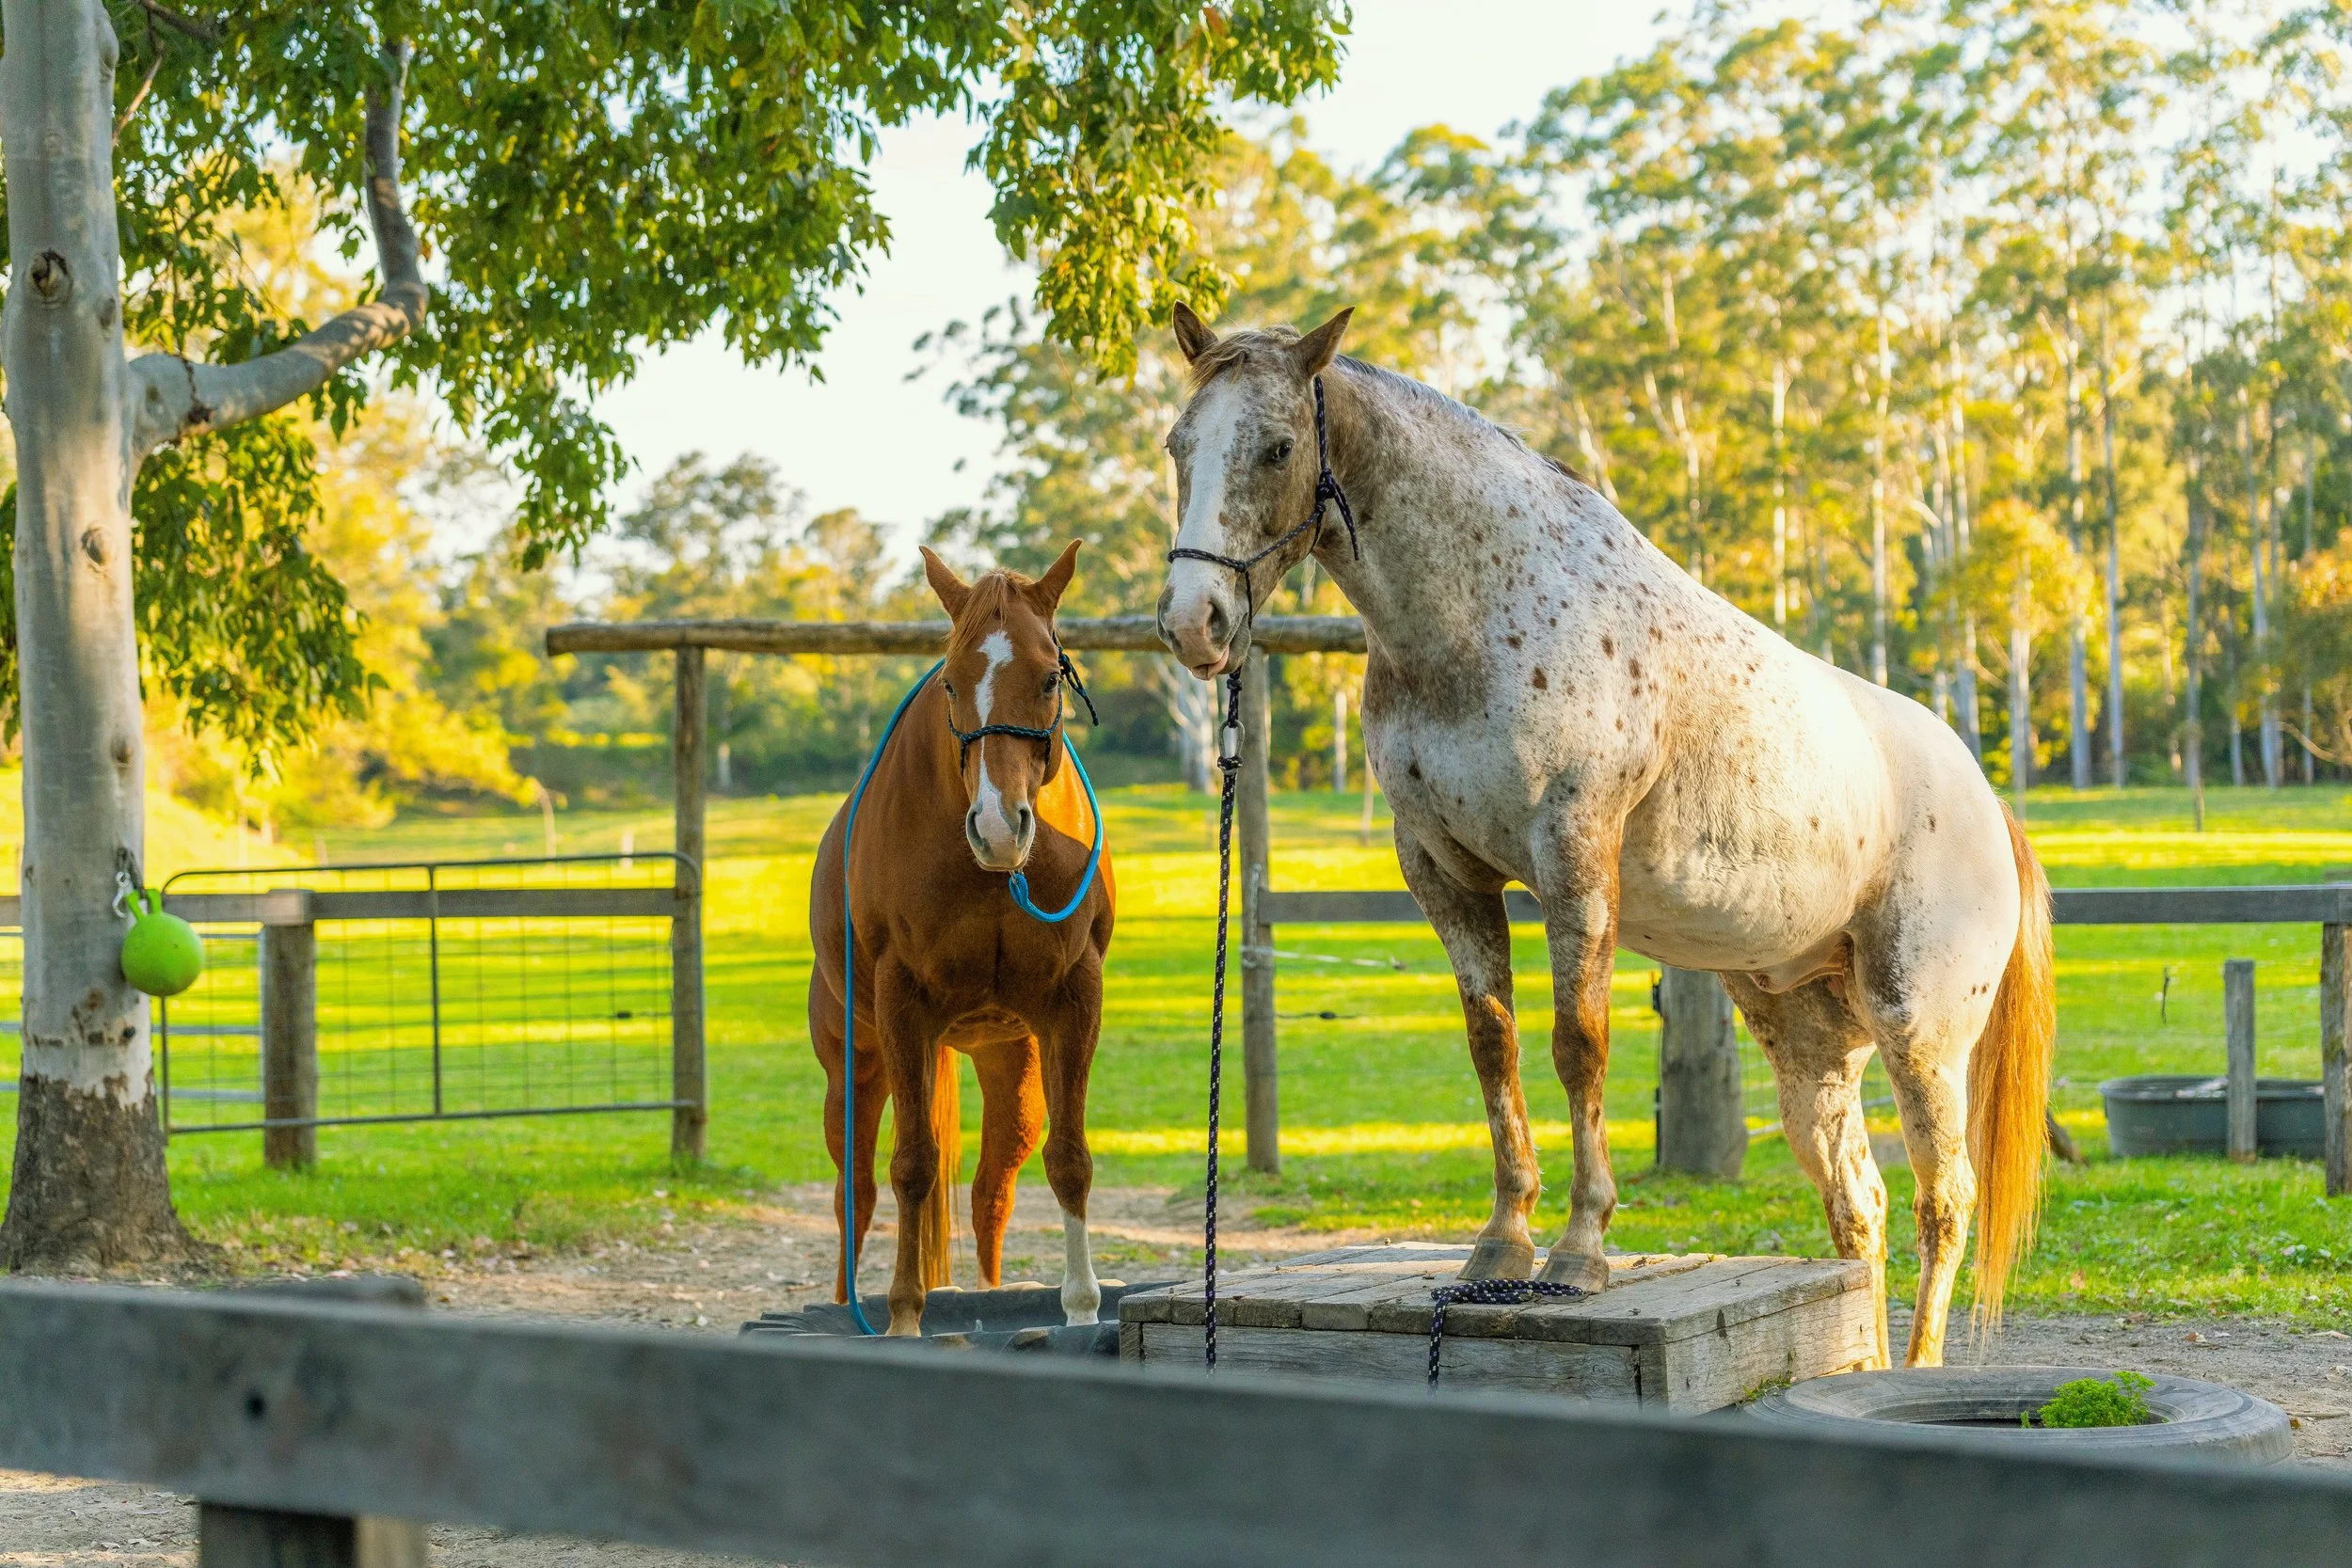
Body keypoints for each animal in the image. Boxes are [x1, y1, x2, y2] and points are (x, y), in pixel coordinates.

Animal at [808, 541, 1116, 1336]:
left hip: (1012, 1063)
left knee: (991, 1188)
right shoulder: (903, 1004)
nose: (999, 826)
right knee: (856, 1190)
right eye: (950, 680)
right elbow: (912, 1165)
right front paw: (904, 1314)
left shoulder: (1074, 1000)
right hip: (858, 1065)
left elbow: (1069, 1159)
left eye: (1049, 676)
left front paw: (1080, 1309)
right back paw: (844, 1308)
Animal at [1153, 305, 2054, 1369]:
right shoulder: (1443, 871)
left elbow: (1577, 1045)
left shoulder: (1573, 857)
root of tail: (1985, 800)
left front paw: (1579, 1250)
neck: (1477, 617)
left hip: (1921, 1031)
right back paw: (1865, 1366)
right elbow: (1492, 1046)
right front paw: (1501, 1244)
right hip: (1809, 1042)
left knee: (1941, 1203)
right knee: (1858, 1206)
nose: (1194, 623)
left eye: (1278, 447)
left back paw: (1910, 1372)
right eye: (1179, 444)